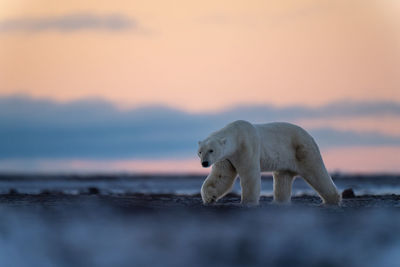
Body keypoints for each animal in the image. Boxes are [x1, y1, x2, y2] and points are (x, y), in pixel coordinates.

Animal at [197, 121, 340, 207]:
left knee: (316, 172)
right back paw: (278, 203)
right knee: (282, 179)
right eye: (200, 151)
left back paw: (333, 200)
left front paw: (248, 202)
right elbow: (221, 176)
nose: (204, 163)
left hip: (302, 150)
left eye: (211, 150)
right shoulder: (227, 158)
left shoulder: (247, 147)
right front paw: (210, 198)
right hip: (286, 160)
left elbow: (250, 174)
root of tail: (309, 135)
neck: (236, 134)